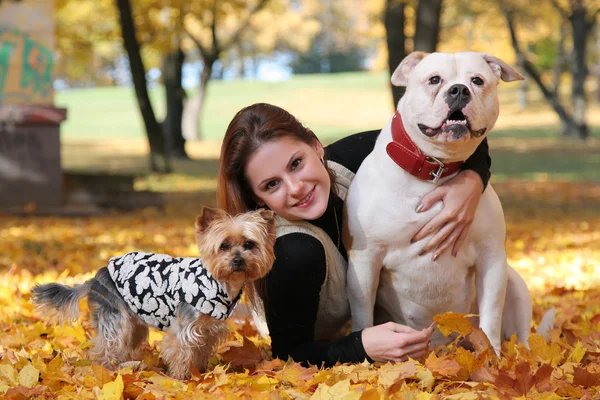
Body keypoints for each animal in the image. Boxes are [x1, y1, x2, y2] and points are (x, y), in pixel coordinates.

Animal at [30, 208, 276, 380]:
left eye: (249, 244)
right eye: (224, 246)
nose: (238, 260)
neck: (219, 282)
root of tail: (96, 277)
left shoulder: (208, 329)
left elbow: (201, 351)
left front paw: (200, 372)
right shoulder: (183, 329)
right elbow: (180, 352)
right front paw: (181, 378)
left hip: (134, 323)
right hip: (115, 318)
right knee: (106, 347)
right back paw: (107, 372)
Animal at [342, 50, 536, 354]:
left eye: (477, 80)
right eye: (434, 80)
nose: (459, 90)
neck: (433, 171)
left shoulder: (491, 256)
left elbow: (491, 316)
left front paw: (492, 357)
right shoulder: (364, 260)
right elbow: (363, 314)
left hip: (514, 284)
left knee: (523, 337)